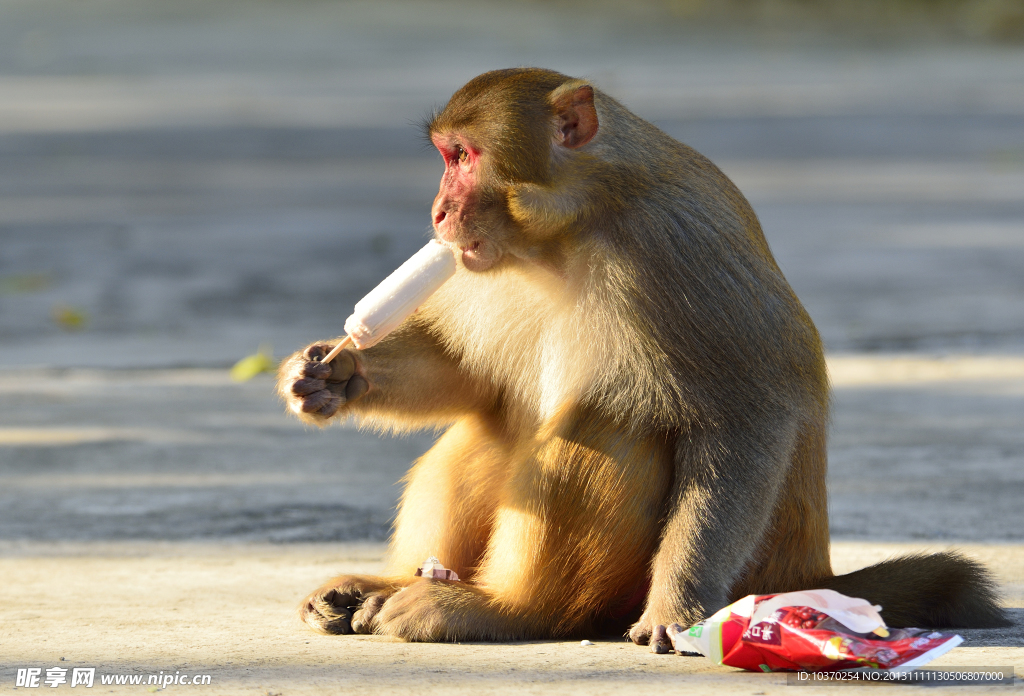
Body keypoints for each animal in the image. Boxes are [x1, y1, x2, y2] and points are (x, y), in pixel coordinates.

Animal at [278, 68, 1007, 650]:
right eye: (444, 156)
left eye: (463, 156)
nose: (437, 212)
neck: (569, 231)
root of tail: (809, 574)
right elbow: (467, 375)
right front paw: (334, 373)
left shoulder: (671, 249)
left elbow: (745, 419)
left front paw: (676, 604)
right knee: (497, 425)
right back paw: (385, 586)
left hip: (689, 581)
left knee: (604, 422)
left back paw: (501, 609)